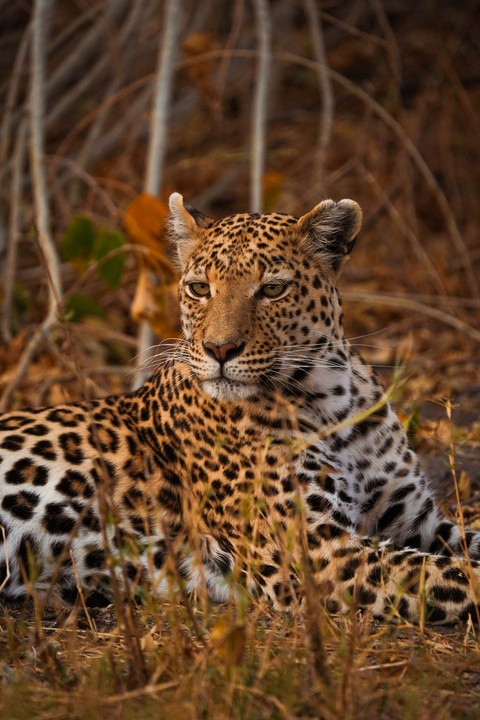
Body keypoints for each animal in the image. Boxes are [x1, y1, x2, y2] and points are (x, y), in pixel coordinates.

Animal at [1, 191, 479, 624]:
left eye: (272, 290)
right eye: (199, 289)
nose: (220, 349)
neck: (332, 400)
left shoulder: (417, 522)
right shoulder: (321, 553)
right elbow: (455, 576)